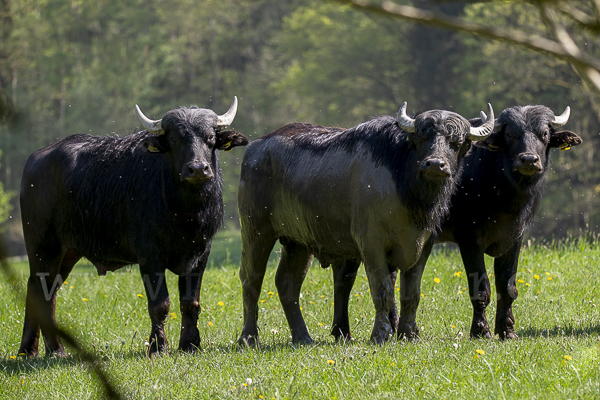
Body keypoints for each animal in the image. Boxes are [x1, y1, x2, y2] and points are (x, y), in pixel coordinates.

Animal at [18, 97, 248, 356]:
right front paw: (158, 347)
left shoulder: (200, 253)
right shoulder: (149, 255)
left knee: (42, 290)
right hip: (44, 247)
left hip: (67, 252)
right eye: (174, 139)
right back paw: (55, 349)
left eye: (210, 137)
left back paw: (29, 350)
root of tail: (34, 161)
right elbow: (160, 304)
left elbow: (190, 303)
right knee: (42, 291)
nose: (198, 169)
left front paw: (190, 344)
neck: (186, 212)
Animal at [237, 101, 494, 344]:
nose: (434, 164)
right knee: (251, 279)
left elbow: (411, 294)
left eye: (457, 141)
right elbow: (383, 291)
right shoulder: (372, 244)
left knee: (288, 283)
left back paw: (303, 337)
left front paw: (409, 334)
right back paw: (248, 338)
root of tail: (255, 149)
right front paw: (381, 334)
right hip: (255, 231)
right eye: (422, 136)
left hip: (297, 242)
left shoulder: (424, 245)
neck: (405, 187)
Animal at [328, 103, 580, 340]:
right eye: (510, 134)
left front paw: (507, 330)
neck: (502, 189)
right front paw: (481, 331)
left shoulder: (514, 237)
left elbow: (507, 287)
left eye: (544, 134)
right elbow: (481, 289)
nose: (528, 159)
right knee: (348, 278)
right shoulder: (469, 239)